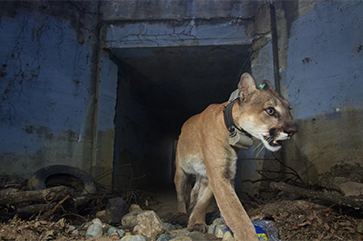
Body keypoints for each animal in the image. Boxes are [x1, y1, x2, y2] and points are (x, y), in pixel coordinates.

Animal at [175, 72, 298, 240]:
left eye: (289, 108)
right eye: (270, 110)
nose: (293, 130)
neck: (233, 128)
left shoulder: (219, 172)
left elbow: (205, 200)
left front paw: (196, 221)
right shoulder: (218, 174)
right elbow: (237, 216)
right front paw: (249, 236)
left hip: (202, 173)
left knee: (195, 189)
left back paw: (192, 204)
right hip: (181, 171)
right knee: (181, 194)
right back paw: (181, 212)